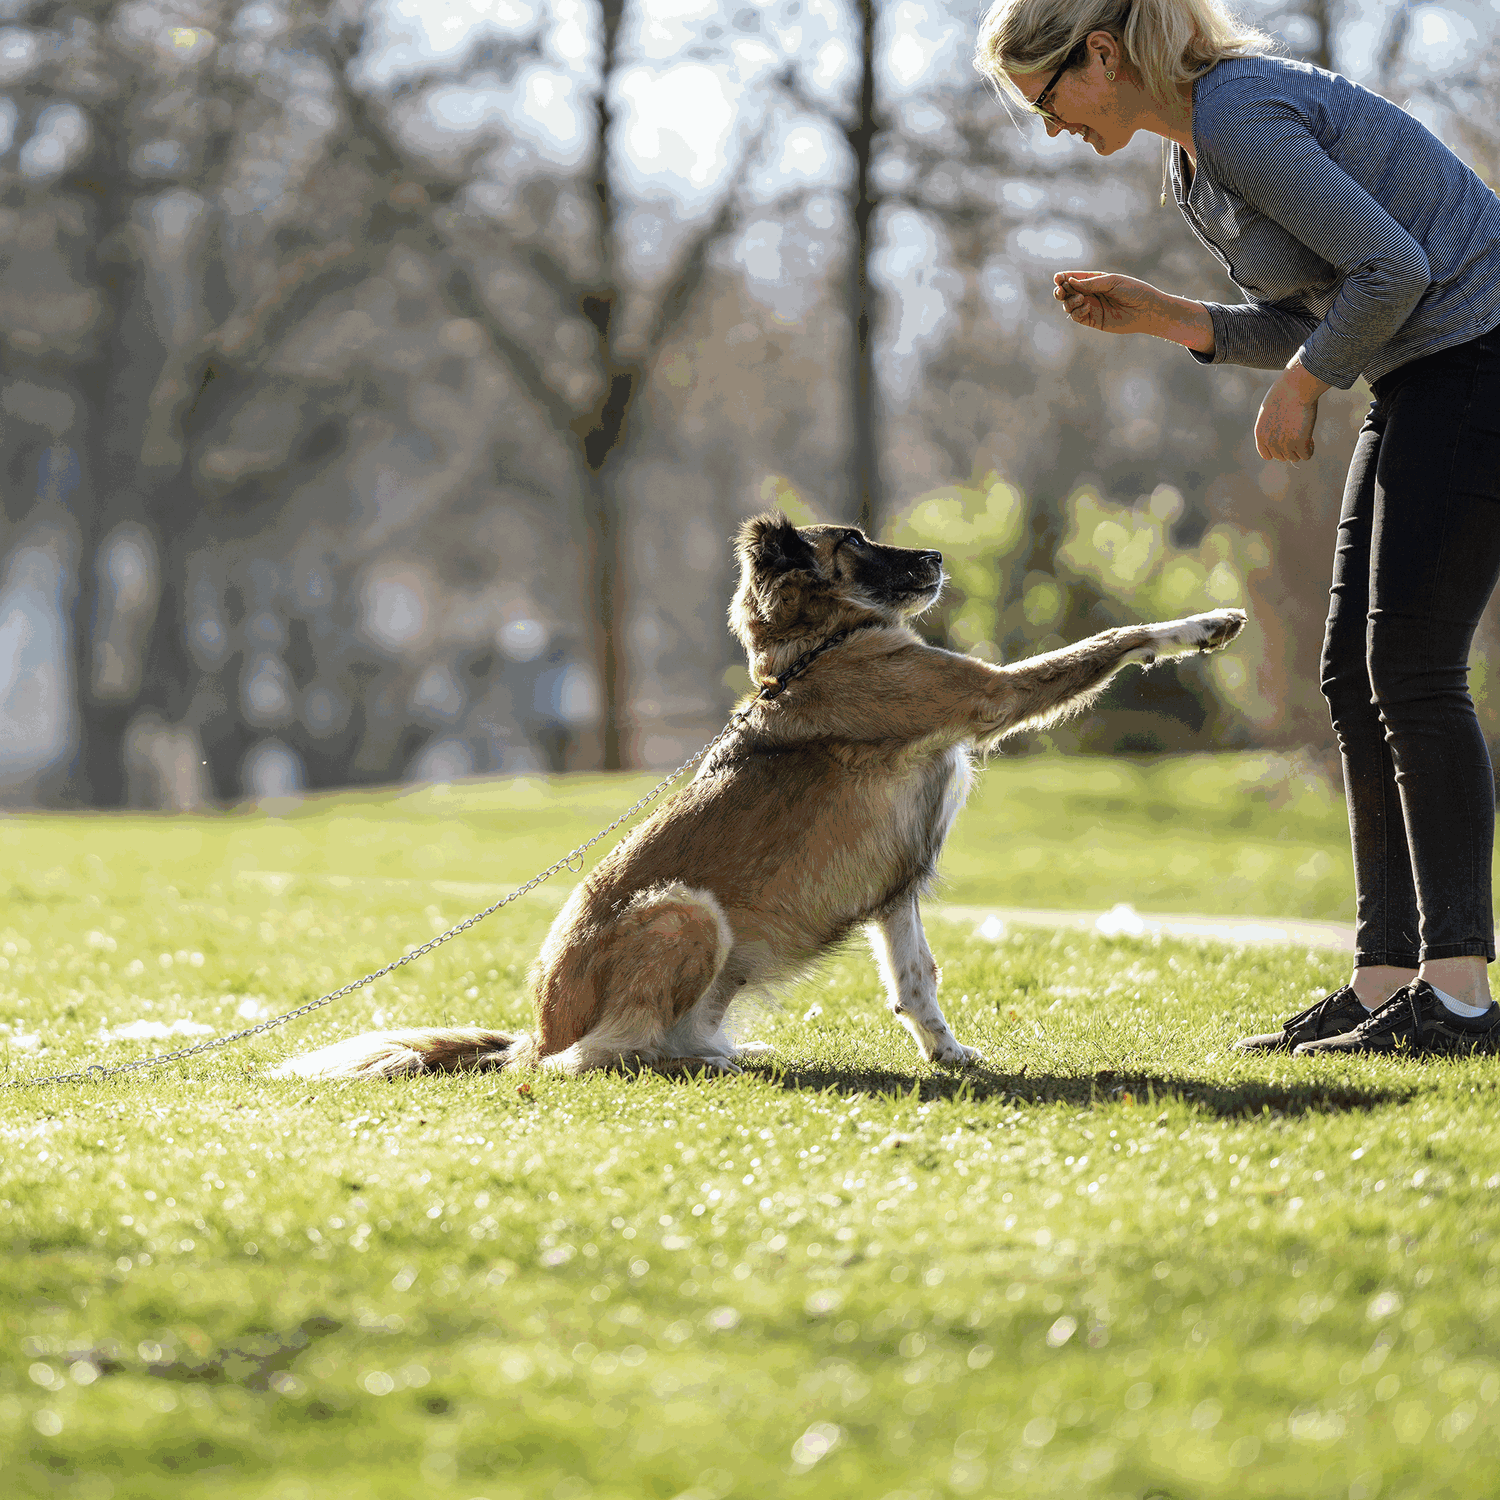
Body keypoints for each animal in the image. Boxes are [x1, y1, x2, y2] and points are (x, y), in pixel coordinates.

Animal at [276, 513, 1248, 1080]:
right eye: (855, 543)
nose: (936, 554)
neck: (822, 650)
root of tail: (537, 1029)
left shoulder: (895, 885)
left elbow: (917, 979)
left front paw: (948, 1055)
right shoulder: (993, 697)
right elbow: (1112, 638)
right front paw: (1202, 625)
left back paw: (726, 1050)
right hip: (681, 911)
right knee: (587, 1061)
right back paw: (697, 1064)